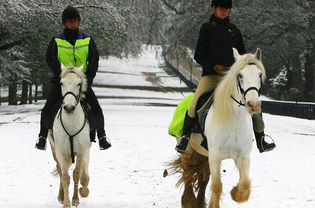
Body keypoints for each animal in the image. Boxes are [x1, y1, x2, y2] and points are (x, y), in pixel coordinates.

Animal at [48, 65, 90, 208]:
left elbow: (78, 174)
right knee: (60, 170)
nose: (69, 108)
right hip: (54, 150)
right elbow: (65, 177)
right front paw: (66, 202)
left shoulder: (82, 150)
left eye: (79, 83)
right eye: (62, 83)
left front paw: (77, 197)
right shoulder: (61, 152)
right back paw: (61, 196)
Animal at [168, 48, 266, 208]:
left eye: (259, 74)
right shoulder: (215, 156)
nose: (254, 105)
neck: (234, 120)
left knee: (203, 178)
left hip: (204, 154)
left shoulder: (243, 156)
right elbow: (216, 186)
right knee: (188, 172)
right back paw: (189, 201)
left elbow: (244, 186)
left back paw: (199, 202)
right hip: (188, 149)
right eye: (240, 75)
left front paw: (234, 192)